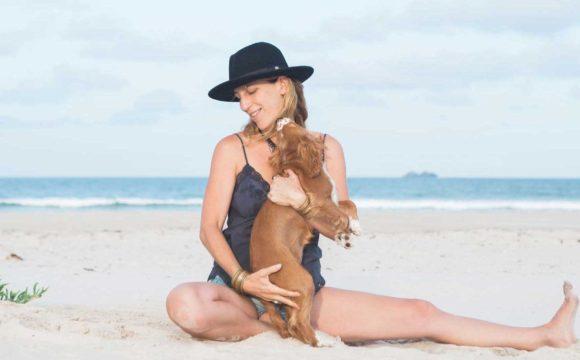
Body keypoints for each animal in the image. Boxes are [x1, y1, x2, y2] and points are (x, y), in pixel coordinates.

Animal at [250, 118, 360, 346]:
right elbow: (341, 215)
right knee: (298, 322)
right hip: (303, 282)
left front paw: (352, 228)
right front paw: (345, 234)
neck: (301, 163)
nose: (280, 120)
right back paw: (322, 341)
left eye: (284, 131)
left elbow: (349, 204)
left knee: (287, 322)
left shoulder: (333, 200)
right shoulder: (319, 204)